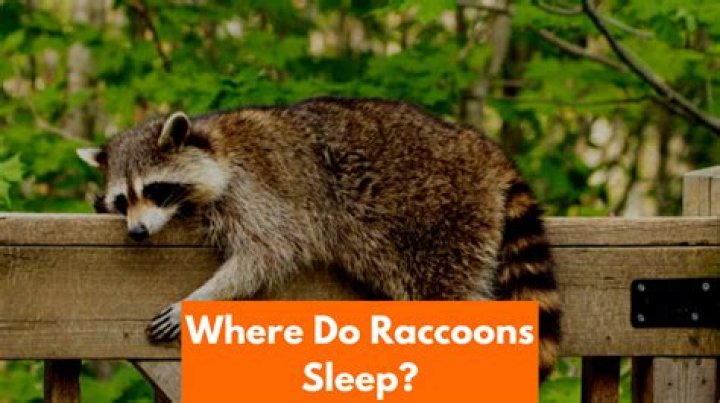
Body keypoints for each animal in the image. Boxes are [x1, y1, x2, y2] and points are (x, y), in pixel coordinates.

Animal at [78, 97, 561, 381]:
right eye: (123, 199)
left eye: (156, 189)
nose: (138, 232)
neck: (213, 143)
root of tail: (483, 148)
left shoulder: (258, 190)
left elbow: (268, 253)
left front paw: (198, 298)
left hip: (444, 217)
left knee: (446, 292)